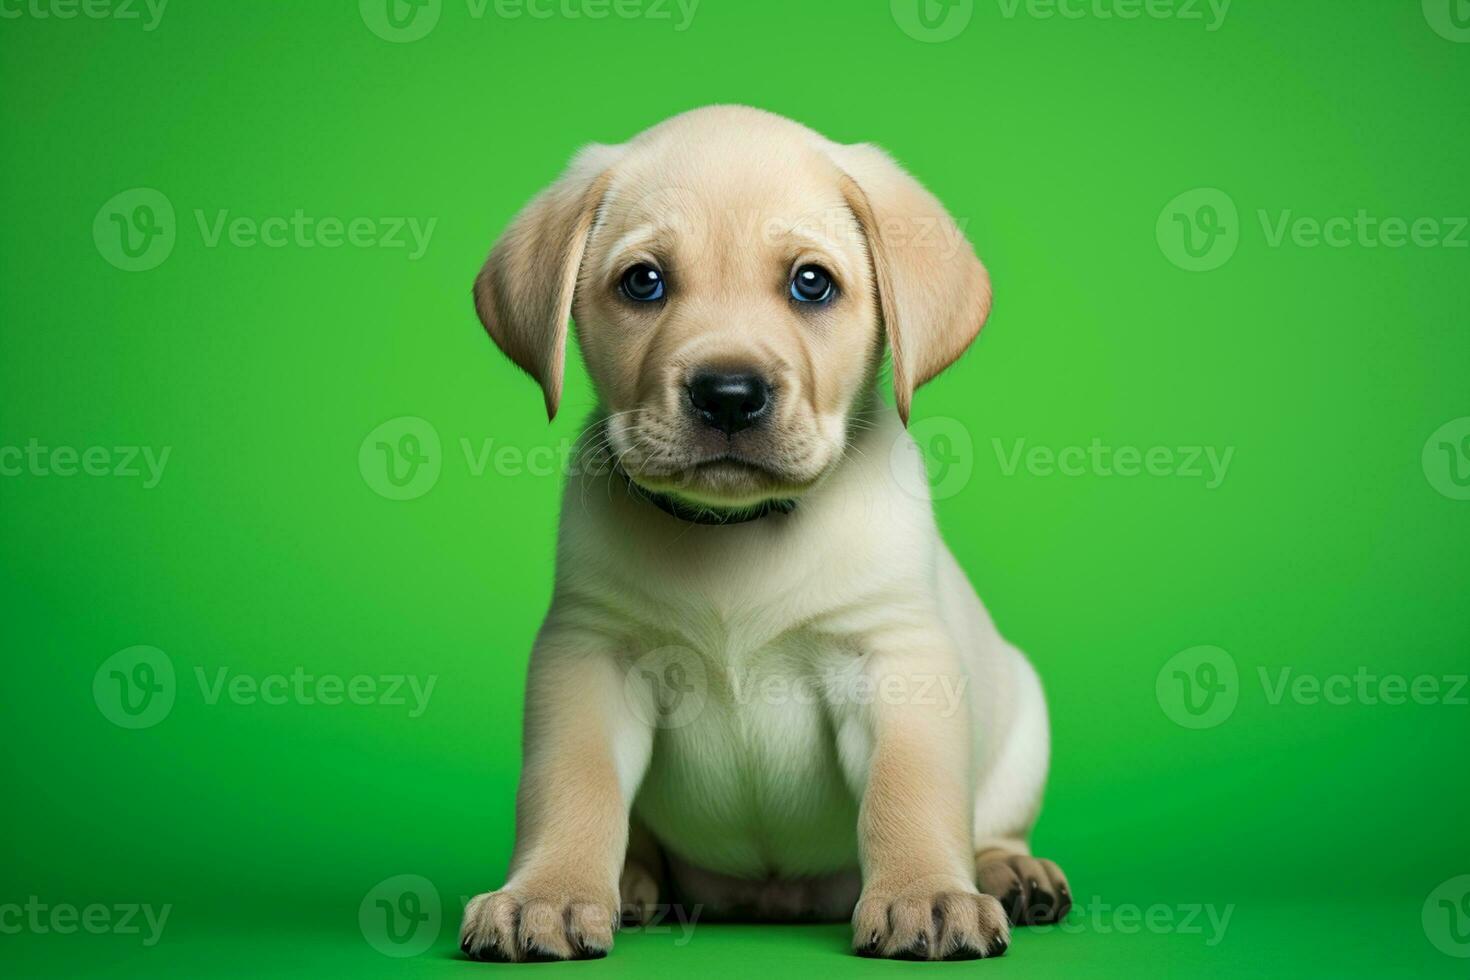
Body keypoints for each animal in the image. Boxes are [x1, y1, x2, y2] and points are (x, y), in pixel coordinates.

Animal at [458, 103, 1070, 963]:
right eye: (643, 282)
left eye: (811, 283)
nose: (728, 394)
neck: (736, 533)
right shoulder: (589, 658)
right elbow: (572, 787)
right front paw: (545, 893)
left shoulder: (893, 659)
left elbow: (909, 790)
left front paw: (926, 893)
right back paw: (634, 882)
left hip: (1023, 714)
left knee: (994, 823)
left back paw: (1011, 873)